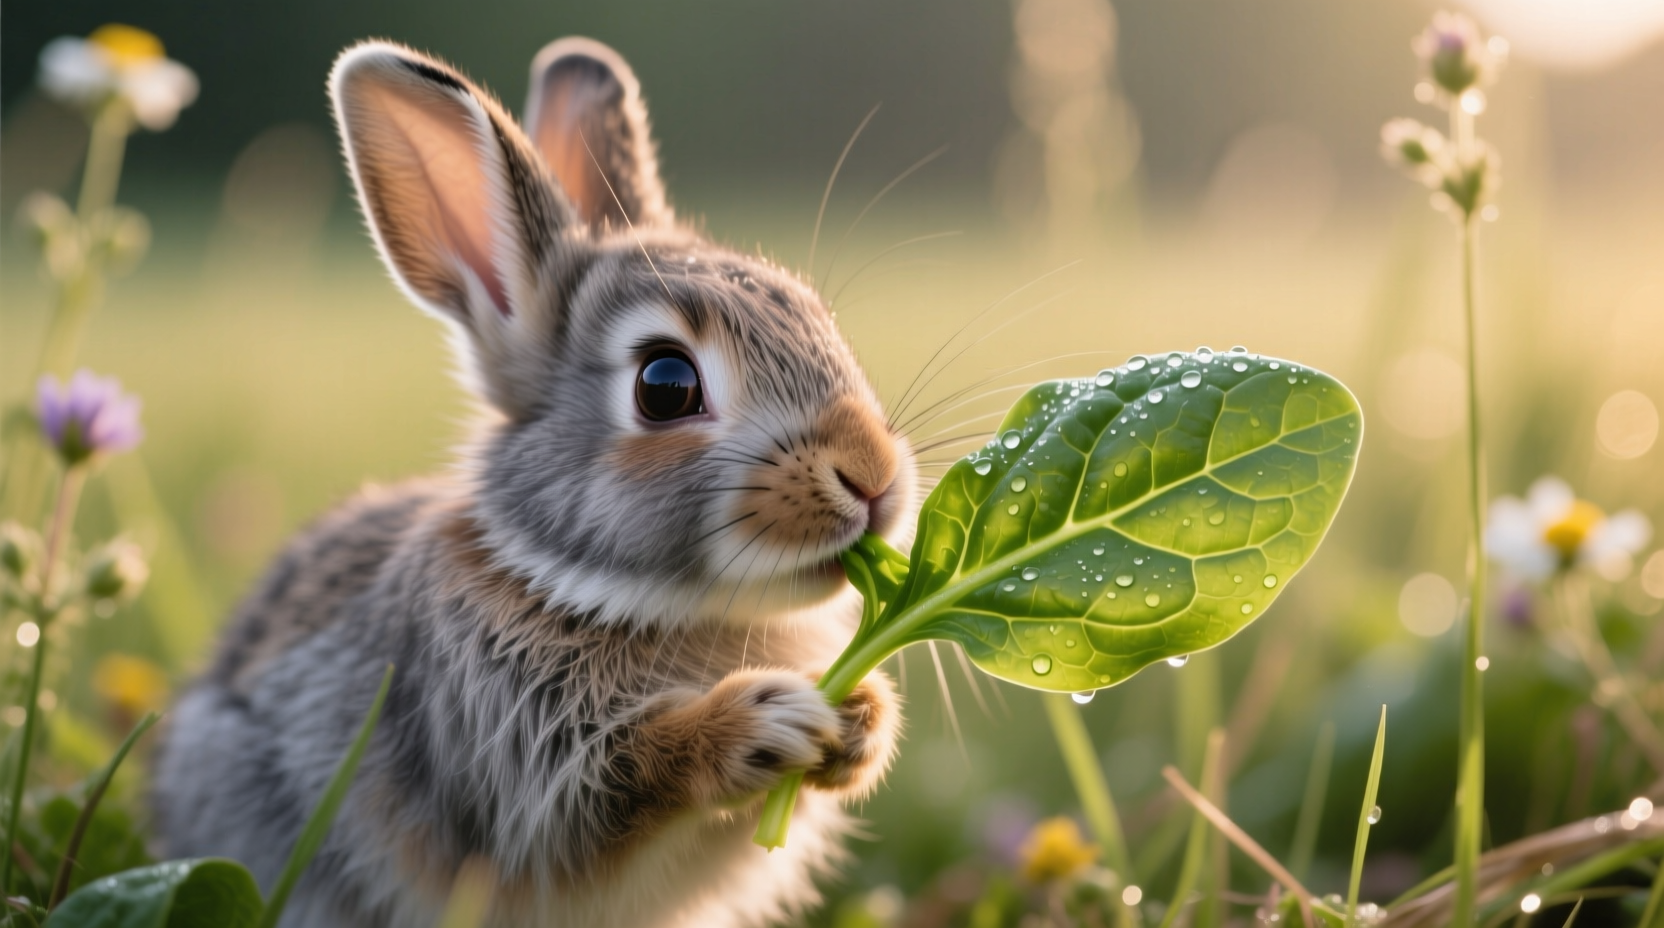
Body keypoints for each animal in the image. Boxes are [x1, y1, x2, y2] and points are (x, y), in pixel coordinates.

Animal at [151, 36, 917, 928]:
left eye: (819, 319)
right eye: (665, 385)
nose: (873, 479)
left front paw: (863, 720)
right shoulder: (510, 755)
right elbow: (604, 791)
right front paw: (764, 721)